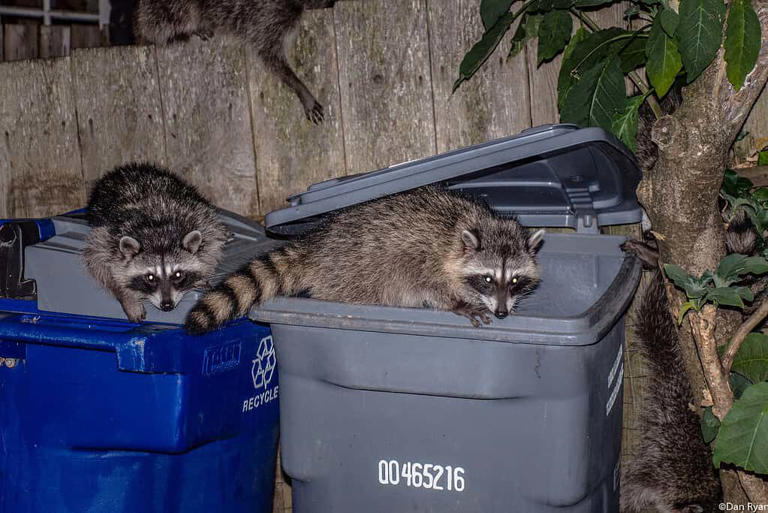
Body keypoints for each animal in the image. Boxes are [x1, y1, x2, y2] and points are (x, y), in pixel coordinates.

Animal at [84, 163, 229, 323]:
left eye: (178, 275)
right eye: (150, 277)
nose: (167, 305)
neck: (159, 237)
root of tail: (128, 168)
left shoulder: (200, 221)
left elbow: (212, 248)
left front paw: (203, 274)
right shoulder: (106, 239)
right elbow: (99, 266)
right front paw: (126, 295)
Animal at [133, 0, 336, 124]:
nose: (332, 2)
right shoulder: (267, 15)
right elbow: (270, 56)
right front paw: (300, 87)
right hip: (164, 7)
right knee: (164, 22)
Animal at [184, 186, 544, 334]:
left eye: (514, 280)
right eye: (487, 278)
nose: (502, 313)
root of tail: (316, 243)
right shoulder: (424, 258)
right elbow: (430, 286)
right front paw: (458, 303)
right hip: (352, 272)